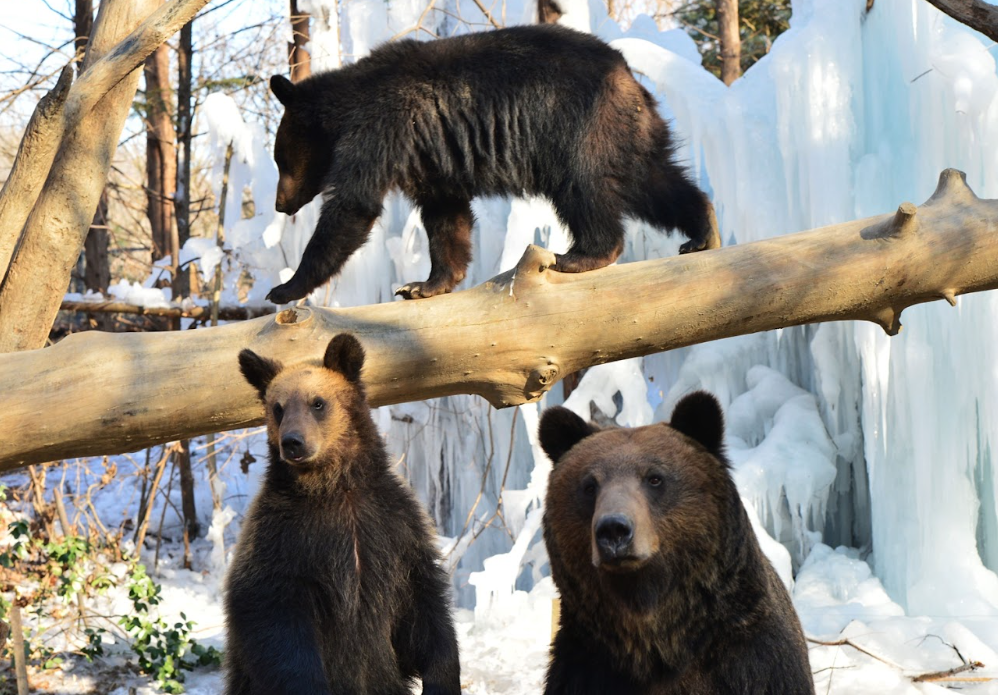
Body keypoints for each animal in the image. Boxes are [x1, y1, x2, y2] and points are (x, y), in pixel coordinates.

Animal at [227, 334, 460, 692]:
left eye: (317, 402)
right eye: (278, 407)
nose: (292, 443)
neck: (335, 487)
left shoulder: (394, 529)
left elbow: (425, 608)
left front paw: (440, 678)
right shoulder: (281, 539)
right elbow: (272, 619)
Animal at [266, 24, 720, 304]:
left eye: (279, 159)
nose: (280, 204)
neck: (342, 114)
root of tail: (627, 72)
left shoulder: (381, 130)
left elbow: (352, 206)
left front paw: (286, 287)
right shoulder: (428, 156)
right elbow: (445, 216)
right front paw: (424, 284)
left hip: (576, 127)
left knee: (584, 189)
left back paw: (581, 254)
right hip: (628, 132)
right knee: (655, 181)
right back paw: (703, 230)